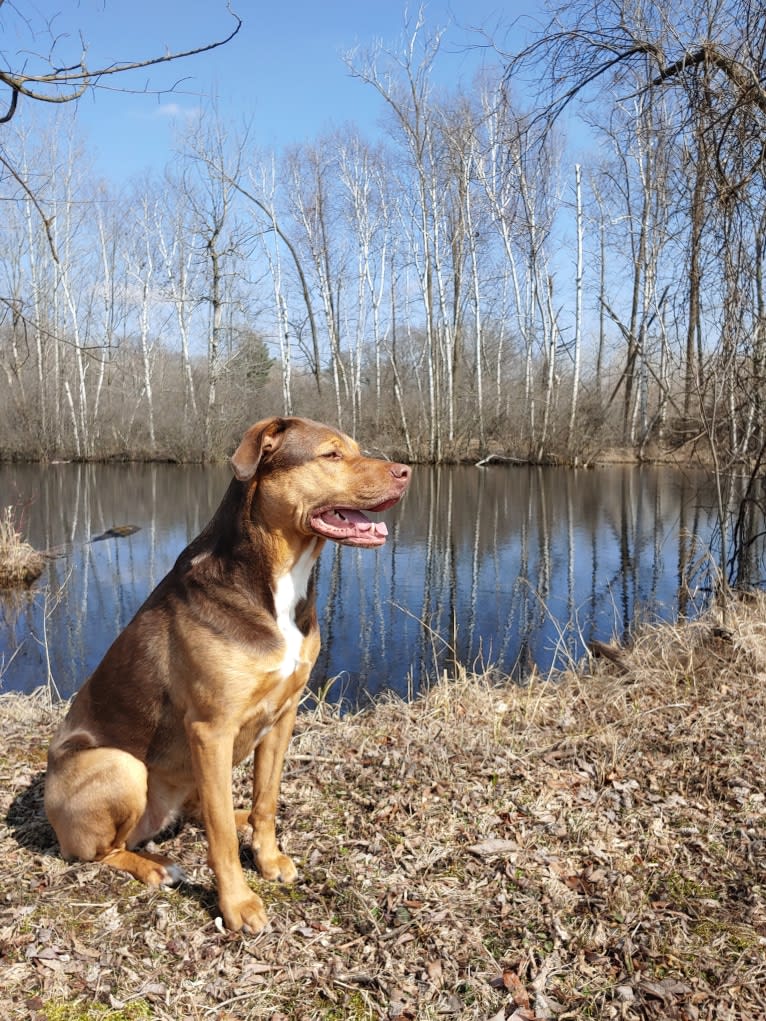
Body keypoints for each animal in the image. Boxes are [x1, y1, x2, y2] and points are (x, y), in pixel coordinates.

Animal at [44, 416, 410, 935]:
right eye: (331, 455)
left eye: (356, 449)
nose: (406, 471)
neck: (278, 579)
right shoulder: (211, 729)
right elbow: (217, 837)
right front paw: (237, 903)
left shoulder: (283, 715)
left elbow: (267, 799)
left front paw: (268, 857)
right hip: (120, 766)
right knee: (102, 851)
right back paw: (155, 868)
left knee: (206, 806)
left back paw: (238, 821)